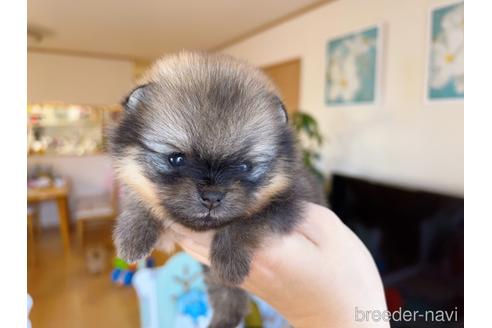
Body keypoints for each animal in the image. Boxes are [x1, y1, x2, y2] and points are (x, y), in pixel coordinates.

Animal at [112, 52, 326, 328]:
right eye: (176, 159)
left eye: (244, 166)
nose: (212, 197)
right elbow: (142, 201)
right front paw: (133, 234)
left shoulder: (288, 202)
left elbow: (247, 221)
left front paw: (229, 258)